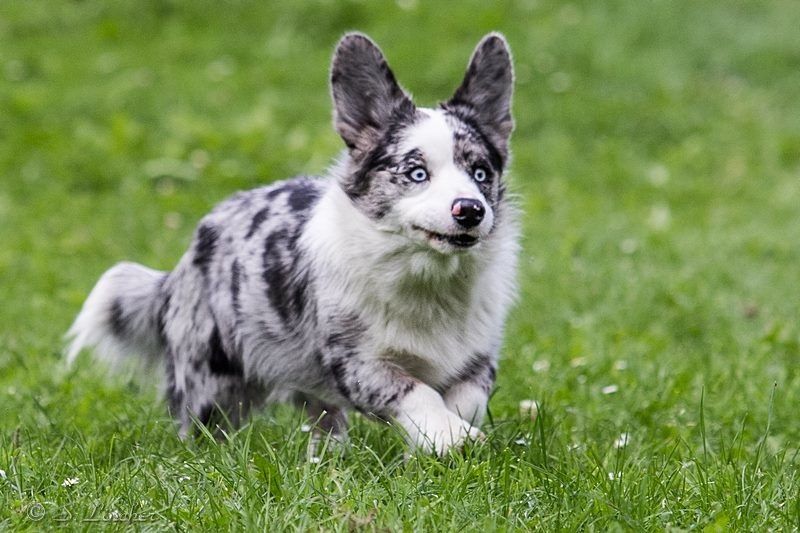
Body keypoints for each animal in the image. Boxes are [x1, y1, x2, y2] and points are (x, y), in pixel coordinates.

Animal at [66, 32, 518, 455]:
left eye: (480, 172)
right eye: (417, 173)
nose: (470, 210)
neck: (428, 277)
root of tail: (183, 264)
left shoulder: (478, 362)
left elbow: (465, 400)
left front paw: (444, 438)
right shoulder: (359, 364)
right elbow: (416, 392)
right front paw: (450, 437)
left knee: (323, 420)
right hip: (209, 382)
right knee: (203, 427)